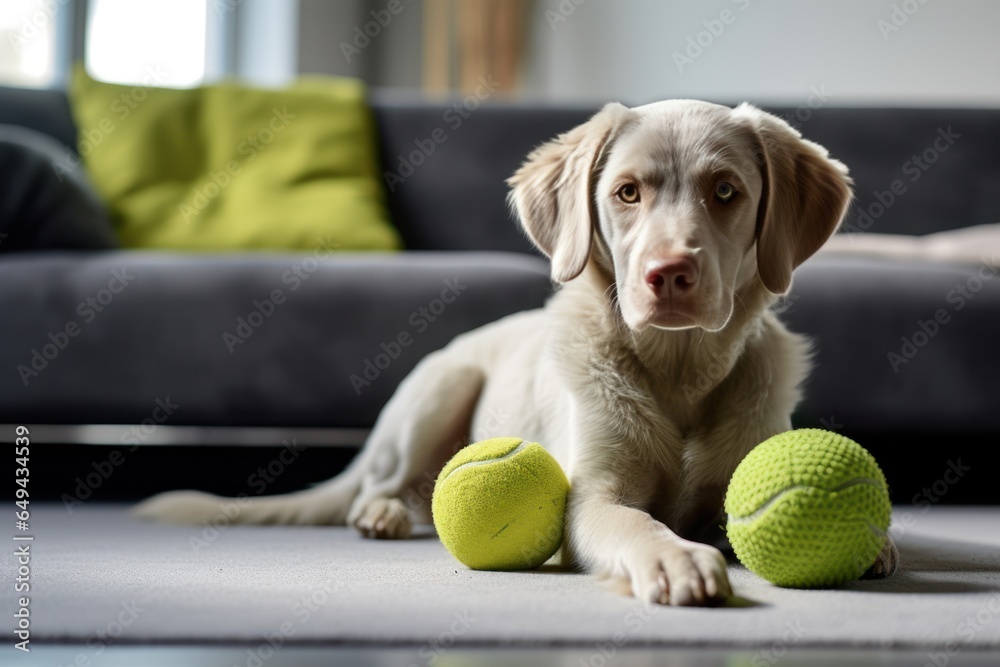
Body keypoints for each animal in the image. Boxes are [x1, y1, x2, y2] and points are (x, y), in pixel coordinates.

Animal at [135, 99, 900, 604]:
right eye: (627, 192)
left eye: (726, 191)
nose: (669, 274)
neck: (677, 370)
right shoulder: (592, 496)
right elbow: (635, 520)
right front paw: (673, 557)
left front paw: (878, 542)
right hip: (436, 392)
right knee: (385, 486)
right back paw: (381, 514)